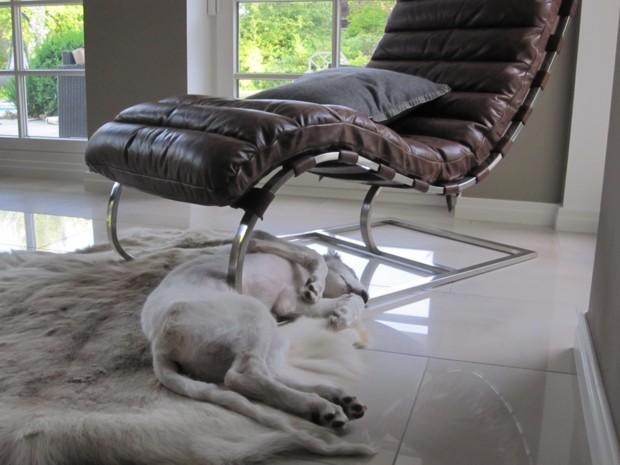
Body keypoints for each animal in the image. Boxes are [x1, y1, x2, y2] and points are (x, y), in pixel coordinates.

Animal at [140, 231, 373, 458]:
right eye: (353, 270)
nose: (367, 295)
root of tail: (159, 344)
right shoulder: (261, 241)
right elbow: (314, 256)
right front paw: (318, 287)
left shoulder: (292, 303)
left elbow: (345, 298)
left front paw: (343, 314)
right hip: (256, 315)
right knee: (241, 377)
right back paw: (322, 406)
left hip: (262, 339)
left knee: (267, 376)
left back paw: (335, 401)